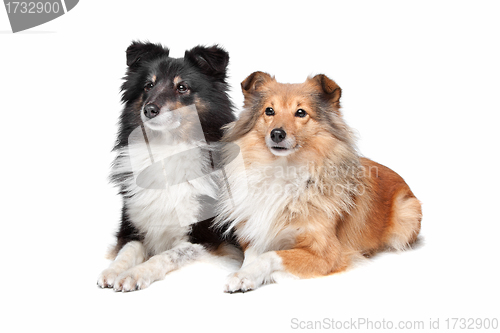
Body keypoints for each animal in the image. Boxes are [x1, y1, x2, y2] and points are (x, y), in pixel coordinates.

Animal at [98, 41, 239, 290]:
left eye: (182, 87)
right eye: (148, 85)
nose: (149, 110)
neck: (167, 149)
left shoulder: (209, 241)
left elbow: (167, 255)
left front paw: (135, 274)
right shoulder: (132, 226)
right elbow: (126, 251)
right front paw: (113, 271)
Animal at [216, 72, 422, 290]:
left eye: (301, 112)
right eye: (269, 111)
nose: (277, 134)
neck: (284, 170)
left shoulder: (328, 253)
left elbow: (271, 255)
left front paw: (252, 275)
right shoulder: (255, 232)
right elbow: (253, 255)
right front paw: (243, 273)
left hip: (407, 214)